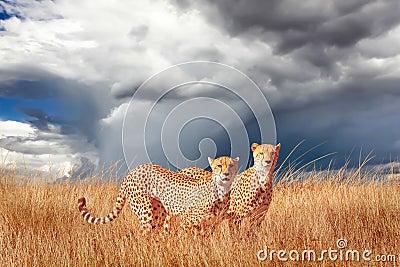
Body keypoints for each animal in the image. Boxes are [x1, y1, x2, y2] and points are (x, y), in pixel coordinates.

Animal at [77, 157, 238, 232]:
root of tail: (132, 172)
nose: (226, 174)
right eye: (219, 165)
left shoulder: (211, 225)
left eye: (231, 165)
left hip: (158, 214)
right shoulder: (187, 220)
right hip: (146, 212)